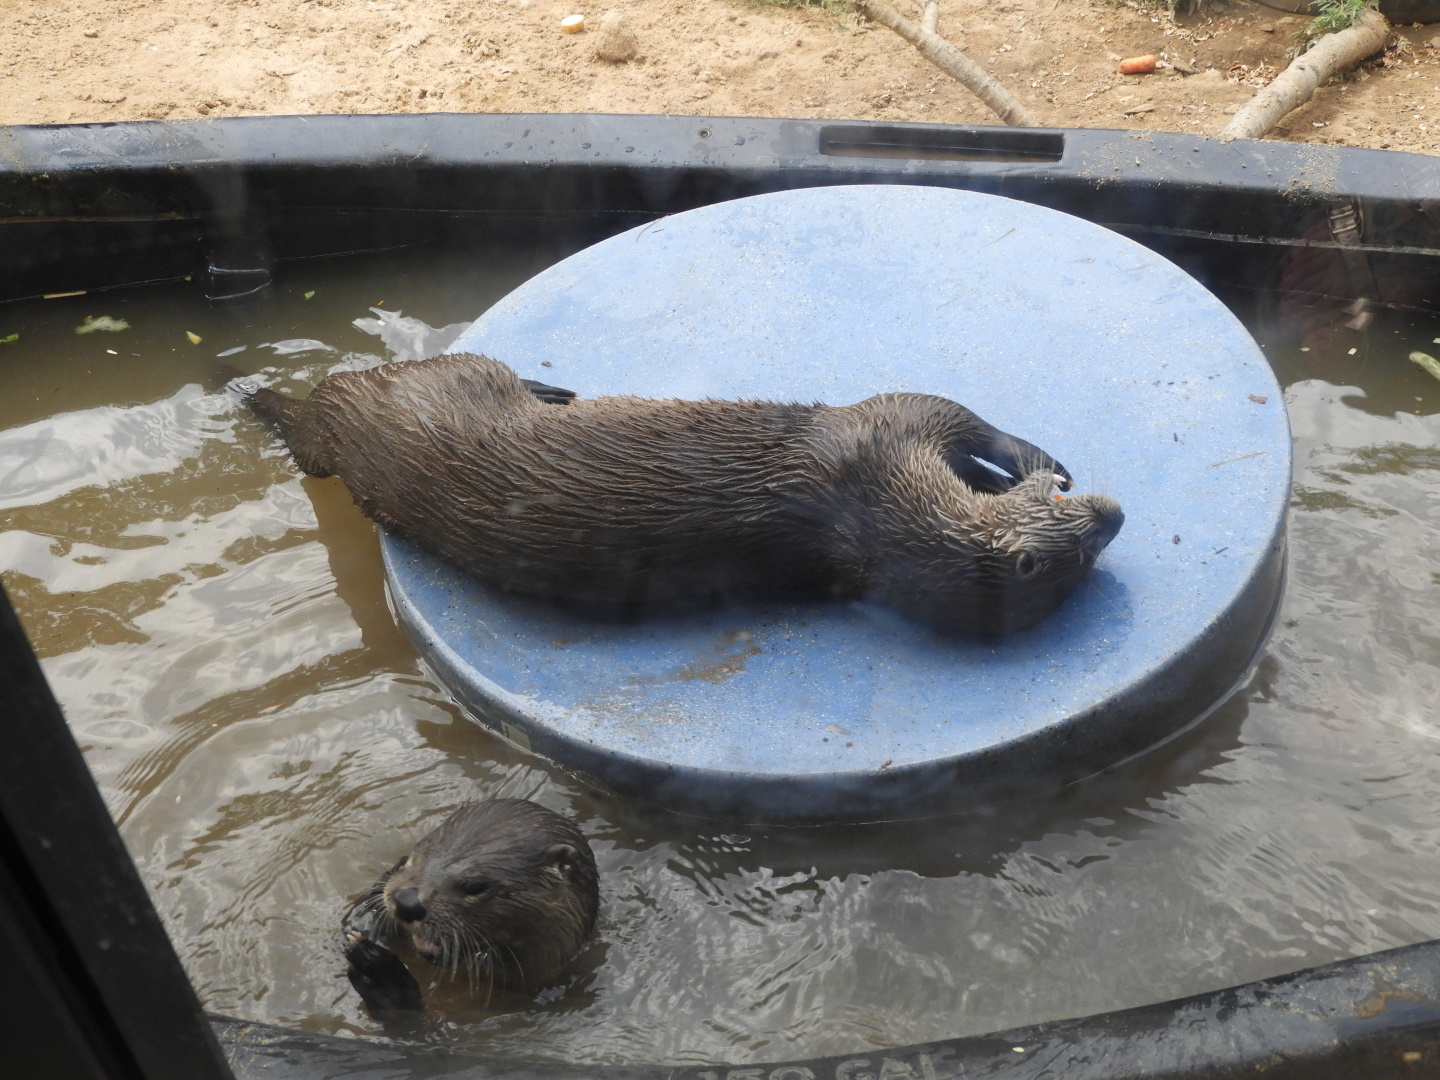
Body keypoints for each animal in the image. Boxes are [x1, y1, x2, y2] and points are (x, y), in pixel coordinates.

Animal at [247, 353, 1122, 634]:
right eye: (1074, 529)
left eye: (1089, 553)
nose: (1116, 513)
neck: (877, 520)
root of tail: (341, 421)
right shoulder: (887, 430)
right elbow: (958, 413)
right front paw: (1031, 455)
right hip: (451, 373)